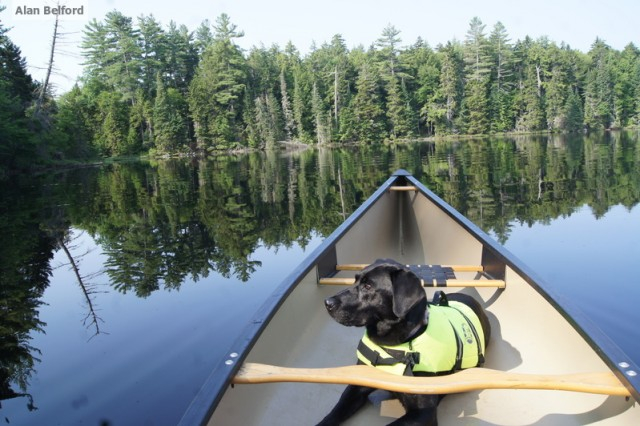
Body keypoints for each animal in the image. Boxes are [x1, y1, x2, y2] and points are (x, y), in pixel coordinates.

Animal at [318, 258, 490, 424]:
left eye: (368, 286)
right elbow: (334, 413)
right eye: (355, 280)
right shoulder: (357, 385)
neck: (390, 345)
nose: (327, 303)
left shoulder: (423, 413)